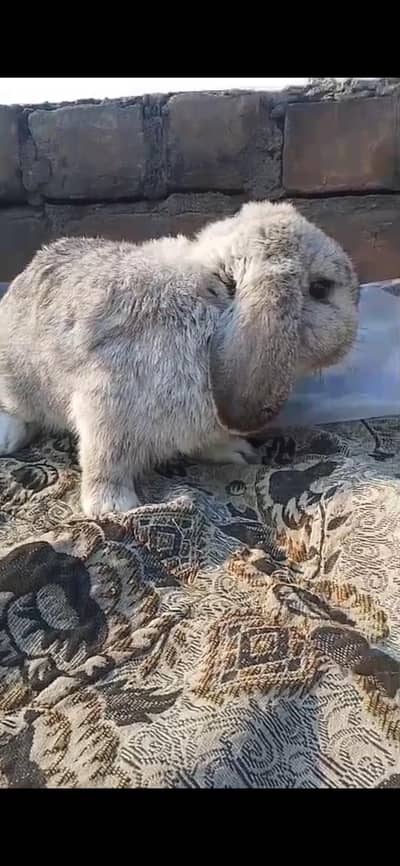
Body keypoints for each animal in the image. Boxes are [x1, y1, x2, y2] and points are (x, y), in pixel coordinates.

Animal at [0, 200, 359, 517]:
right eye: (321, 288)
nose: (352, 338)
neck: (214, 311)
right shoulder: (104, 408)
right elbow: (106, 461)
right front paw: (112, 507)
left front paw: (238, 452)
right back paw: (9, 438)